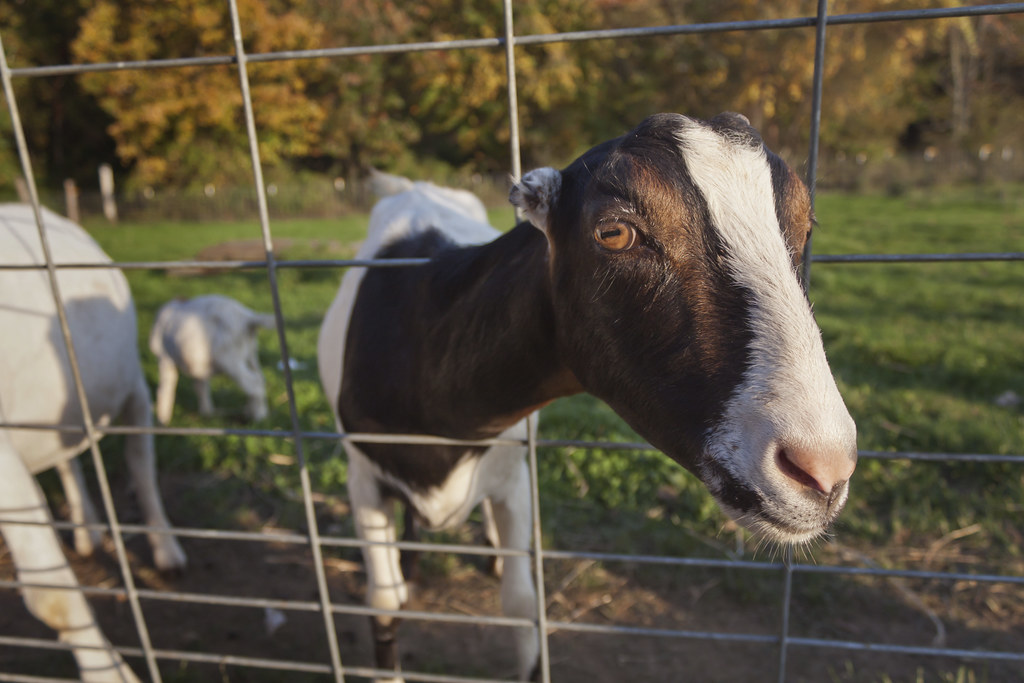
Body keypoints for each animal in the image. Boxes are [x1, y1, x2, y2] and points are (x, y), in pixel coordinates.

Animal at [0, 203, 186, 683]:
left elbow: (51, 594)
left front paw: (108, 673)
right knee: (68, 458)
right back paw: (87, 529)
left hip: (132, 386)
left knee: (141, 464)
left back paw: (165, 548)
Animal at [149, 294, 275, 424]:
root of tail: (247, 317)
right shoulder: (198, 363)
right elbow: (201, 386)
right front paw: (207, 412)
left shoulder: (164, 357)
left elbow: (165, 389)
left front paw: (162, 420)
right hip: (251, 355)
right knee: (259, 378)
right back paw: (252, 411)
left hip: (229, 360)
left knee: (254, 383)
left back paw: (258, 418)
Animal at [318, 113, 858, 682]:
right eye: (614, 232)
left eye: (806, 226)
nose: (823, 469)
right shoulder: (363, 477)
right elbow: (385, 602)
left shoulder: (512, 475)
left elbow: (522, 603)